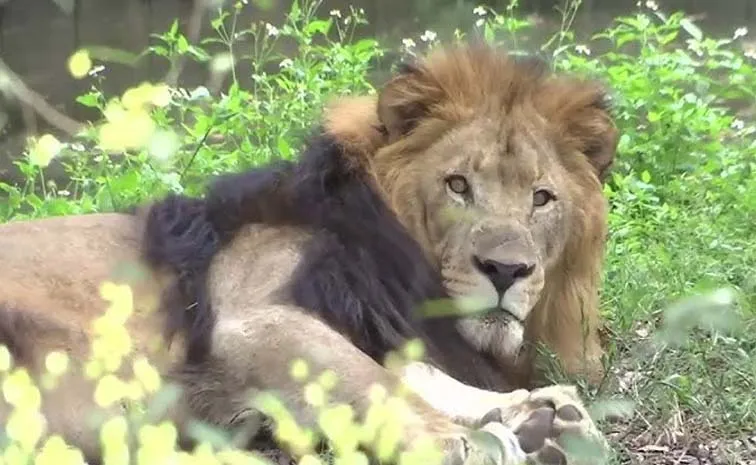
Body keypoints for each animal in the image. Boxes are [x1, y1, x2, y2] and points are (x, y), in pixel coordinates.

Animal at [0, 44, 616, 464]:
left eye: (541, 198)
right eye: (458, 185)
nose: (506, 270)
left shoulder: (371, 321)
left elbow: (414, 372)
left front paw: (543, 415)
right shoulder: (251, 317)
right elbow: (375, 381)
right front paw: (468, 440)